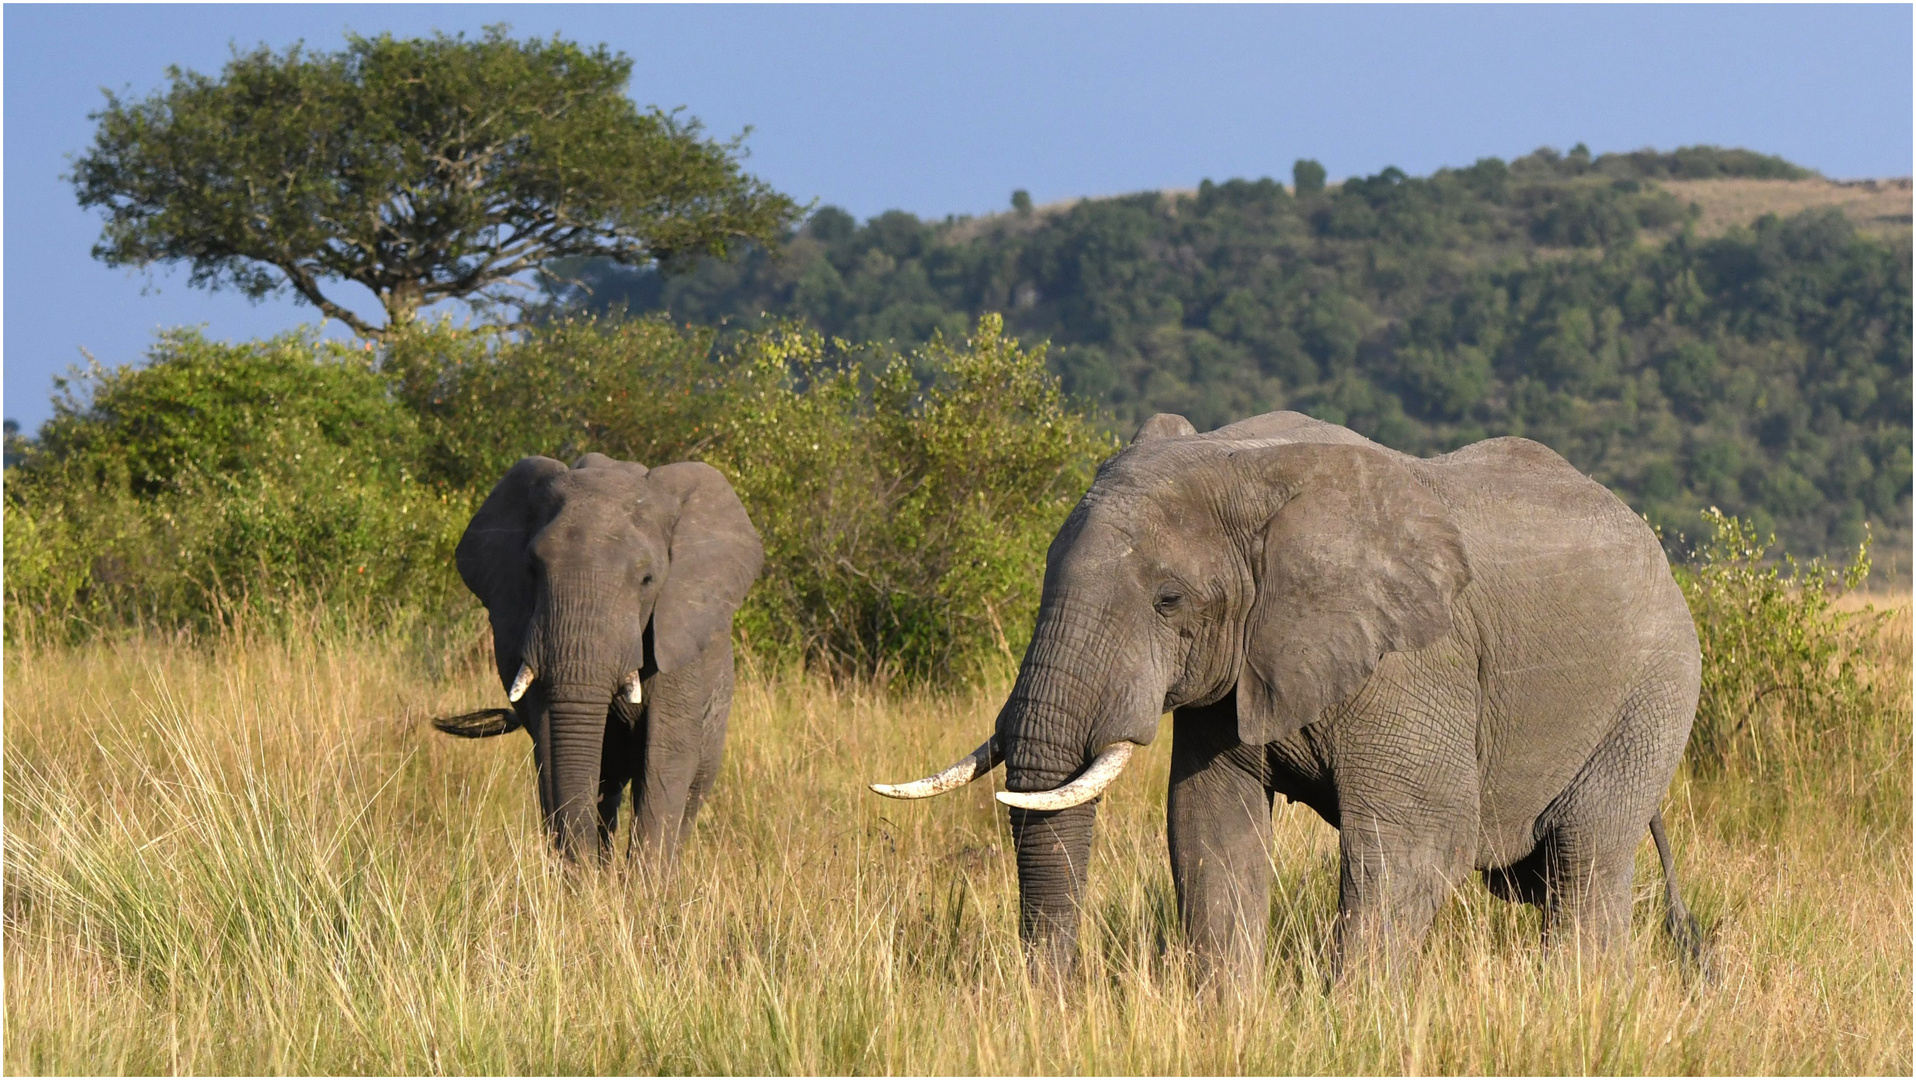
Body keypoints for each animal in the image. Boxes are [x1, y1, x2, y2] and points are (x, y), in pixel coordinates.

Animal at [436, 451, 762, 865]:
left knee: (688, 791)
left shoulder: (682, 639)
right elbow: (552, 745)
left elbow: (666, 756)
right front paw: (583, 877)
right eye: (532, 570)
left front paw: (642, 883)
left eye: (647, 579)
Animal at [877, 411, 1701, 980]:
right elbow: (1209, 830)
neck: (1246, 464)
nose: (1054, 999)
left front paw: (1353, 1025)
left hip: (1655, 694)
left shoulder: (1412, 662)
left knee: (1585, 858)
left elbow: (1418, 842)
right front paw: (1224, 1020)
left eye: (1169, 600)